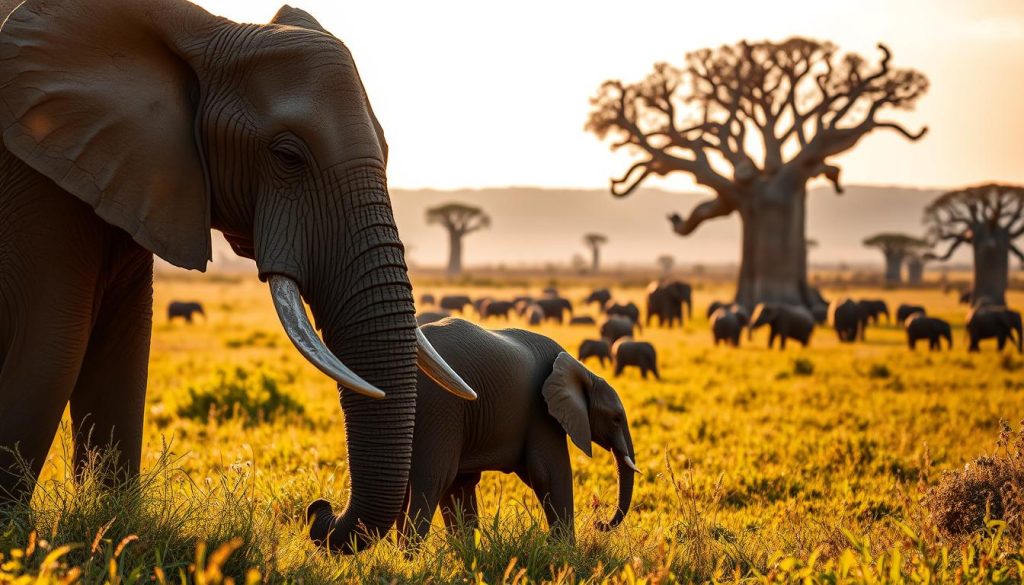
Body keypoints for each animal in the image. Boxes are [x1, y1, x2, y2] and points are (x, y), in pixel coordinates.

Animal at [0, 1, 475, 554]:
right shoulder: (37, 182)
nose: (317, 510)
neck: (201, 27)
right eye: (287, 156)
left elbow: (123, 351)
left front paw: (109, 528)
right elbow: (52, 348)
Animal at [306, 319, 637, 547]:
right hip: (441, 405)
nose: (599, 523)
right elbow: (548, 473)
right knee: (432, 479)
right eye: (616, 419)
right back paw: (409, 557)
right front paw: (564, 553)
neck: (582, 370)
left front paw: (467, 554)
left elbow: (463, 484)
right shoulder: (541, 413)